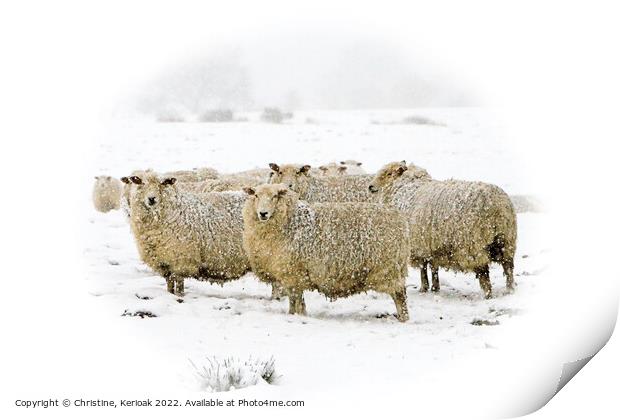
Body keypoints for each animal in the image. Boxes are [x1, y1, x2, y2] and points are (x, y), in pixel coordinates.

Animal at [242, 182, 412, 320]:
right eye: (256, 195)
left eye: (275, 196)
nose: (263, 213)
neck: (289, 221)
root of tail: (400, 219)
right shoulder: (297, 276)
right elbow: (299, 301)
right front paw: (300, 314)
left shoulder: (293, 273)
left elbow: (294, 299)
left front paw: (293, 316)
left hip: (388, 268)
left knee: (400, 295)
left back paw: (403, 319)